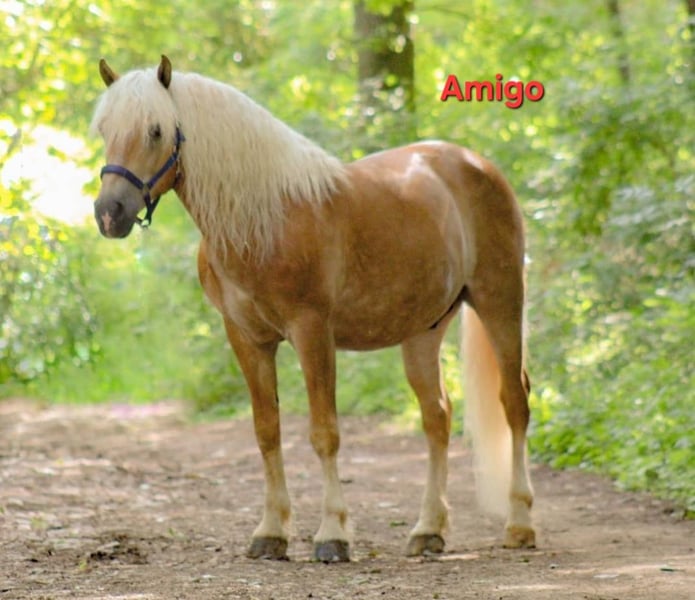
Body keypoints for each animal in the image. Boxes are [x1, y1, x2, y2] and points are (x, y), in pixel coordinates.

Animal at [91, 55, 535, 562]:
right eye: (104, 129)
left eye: (156, 131)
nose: (109, 212)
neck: (262, 221)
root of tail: (477, 164)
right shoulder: (246, 338)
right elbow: (267, 431)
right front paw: (270, 532)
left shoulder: (311, 332)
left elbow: (324, 434)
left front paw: (333, 534)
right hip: (424, 330)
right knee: (436, 417)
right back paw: (428, 530)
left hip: (500, 302)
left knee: (514, 403)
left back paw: (520, 523)